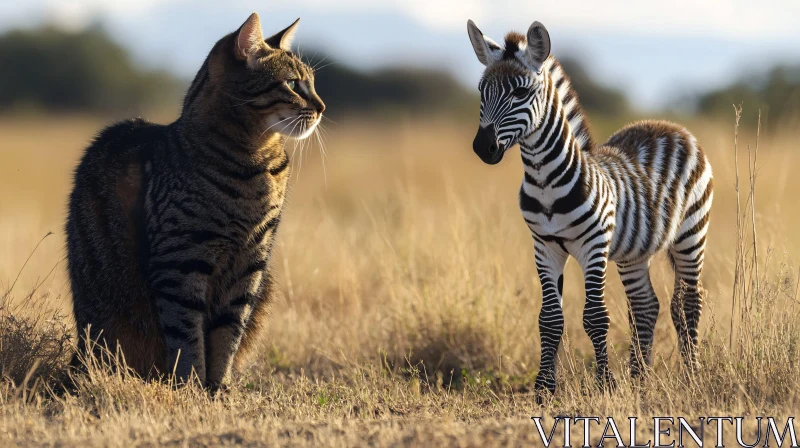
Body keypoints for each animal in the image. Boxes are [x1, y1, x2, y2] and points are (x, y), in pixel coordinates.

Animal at [65, 11, 322, 388]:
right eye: (292, 84)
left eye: (313, 84)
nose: (321, 107)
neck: (255, 164)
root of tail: (77, 354)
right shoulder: (181, 260)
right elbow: (186, 334)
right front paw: (191, 386)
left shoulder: (252, 261)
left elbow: (229, 333)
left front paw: (219, 387)